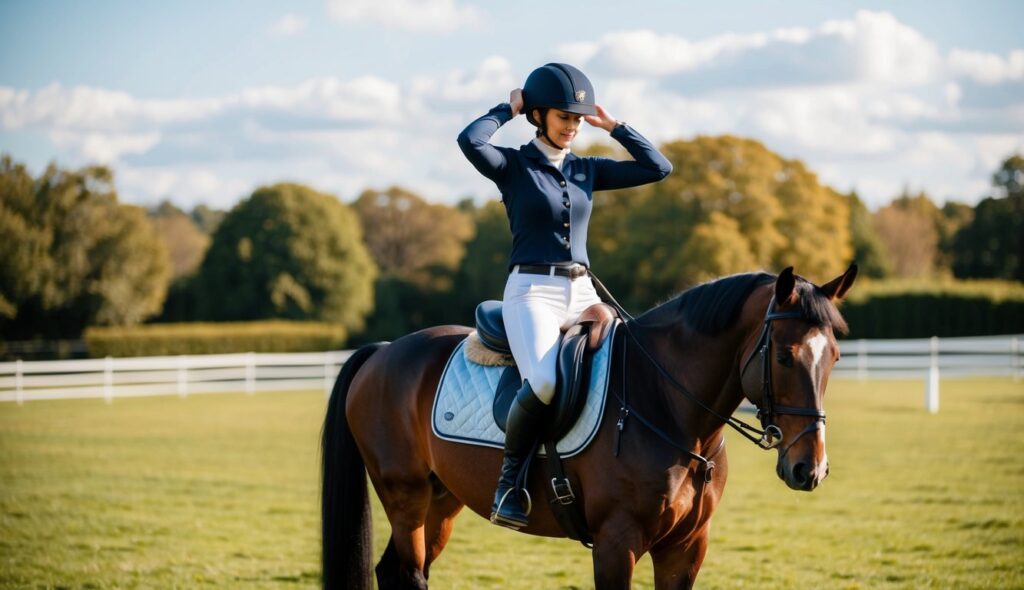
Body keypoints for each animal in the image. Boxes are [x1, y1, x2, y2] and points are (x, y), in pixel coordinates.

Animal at [319, 264, 856, 585]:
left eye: (834, 356)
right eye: (784, 357)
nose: (810, 469)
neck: (666, 404)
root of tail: (384, 352)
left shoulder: (686, 547)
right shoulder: (617, 544)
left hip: (442, 499)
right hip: (405, 496)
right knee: (408, 573)